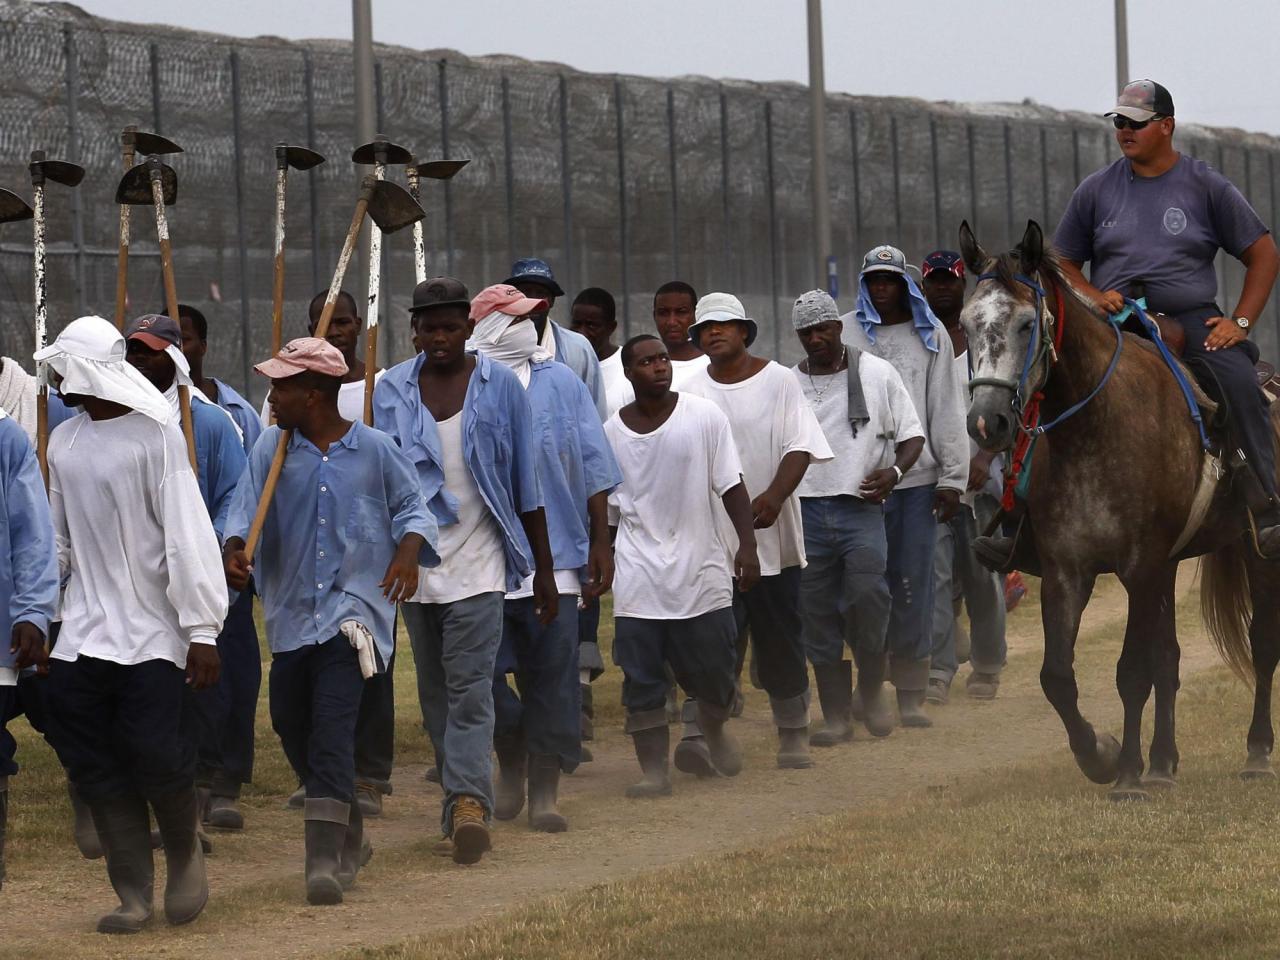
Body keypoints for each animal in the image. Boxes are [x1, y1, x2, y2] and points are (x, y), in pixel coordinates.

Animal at [957, 220, 1274, 803]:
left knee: (1262, 642)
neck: (1095, 428)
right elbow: (1058, 677)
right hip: (1170, 566)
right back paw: (1164, 762)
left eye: (1027, 323)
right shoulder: (1068, 571)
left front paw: (1125, 775)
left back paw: (1257, 752)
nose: (986, 422)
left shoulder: (1139, 566)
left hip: (1256, 552)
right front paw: (1101, 756)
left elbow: (1131, 672)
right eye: (967, 324)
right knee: (1169, 658)